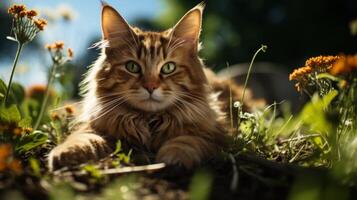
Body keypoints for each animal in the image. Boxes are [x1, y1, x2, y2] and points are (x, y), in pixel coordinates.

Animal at [47, 1, 260, 170]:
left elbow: (187, 140)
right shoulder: (96, 126)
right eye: (132, 67)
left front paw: (174, 157)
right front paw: (66, 152)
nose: (150, 87)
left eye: (168, 68)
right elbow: (82, 138)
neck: (148, 121)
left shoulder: (217, 134)